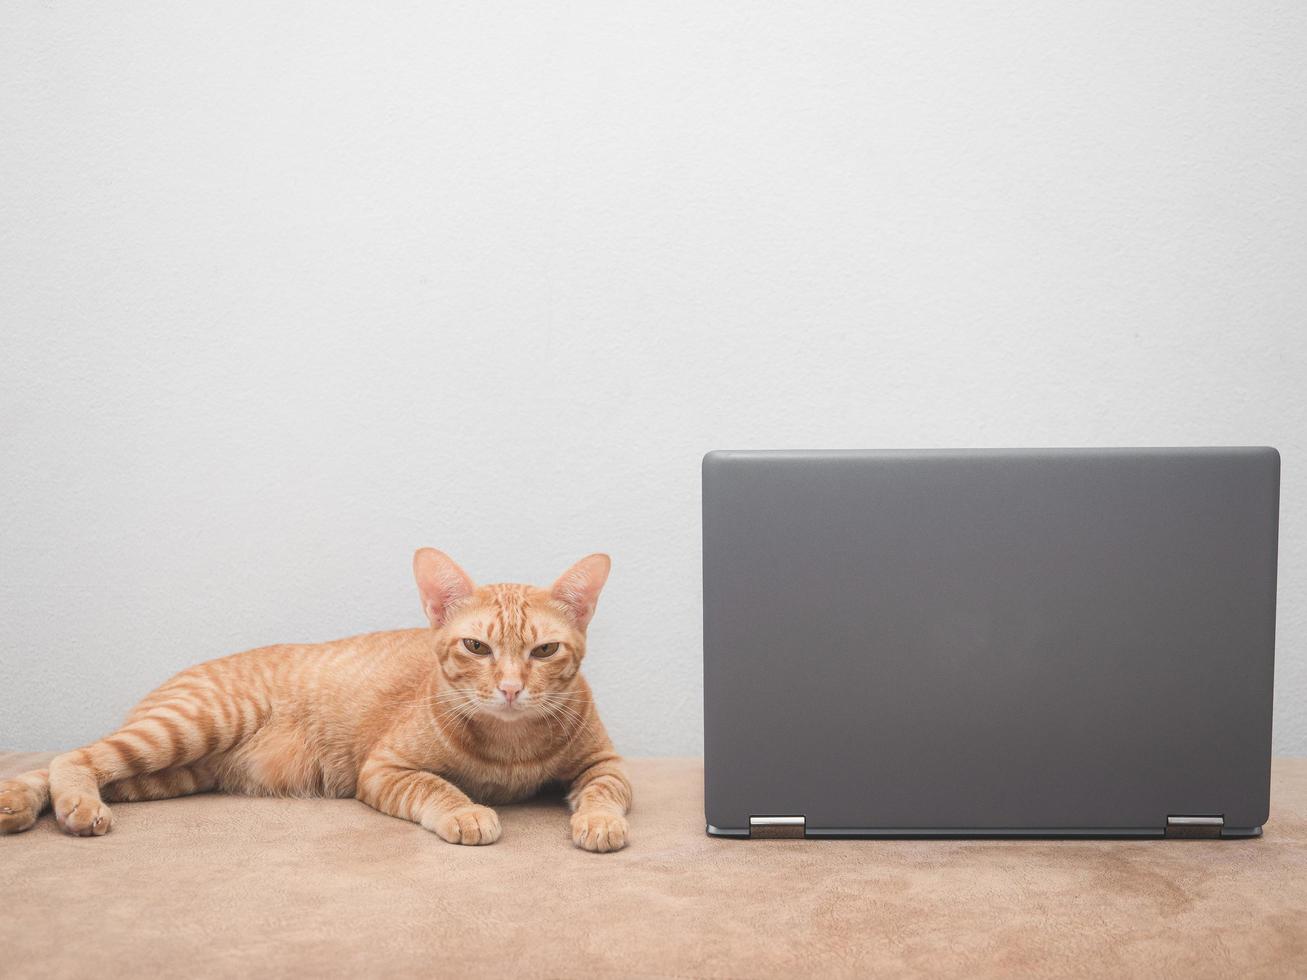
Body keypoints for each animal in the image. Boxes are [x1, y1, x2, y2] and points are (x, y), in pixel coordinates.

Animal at [0, 554, 632, 851]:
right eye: (477, 647)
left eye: (544, 650)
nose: (510, 688)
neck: (510, 745)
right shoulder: (385, 770)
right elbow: (439, 788)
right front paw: (467, 811)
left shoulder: (606, 764)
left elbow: (604, 792)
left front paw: (598, 822)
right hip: (189, 727)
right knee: (74, 757)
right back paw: (73, 805)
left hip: (170, 773)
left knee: (67, 767)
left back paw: (21, 803)